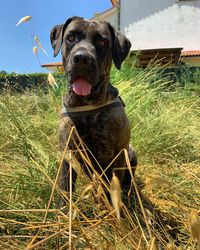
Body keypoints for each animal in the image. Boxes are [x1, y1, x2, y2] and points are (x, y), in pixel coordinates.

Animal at [50, 16, 138, 202]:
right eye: (70, 37)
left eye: (101, 41)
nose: (82, 58)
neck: (86, 105)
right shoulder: (68, 155)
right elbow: (65, 189)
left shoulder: (118, 156)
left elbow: (113, 188)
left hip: (131, 152)